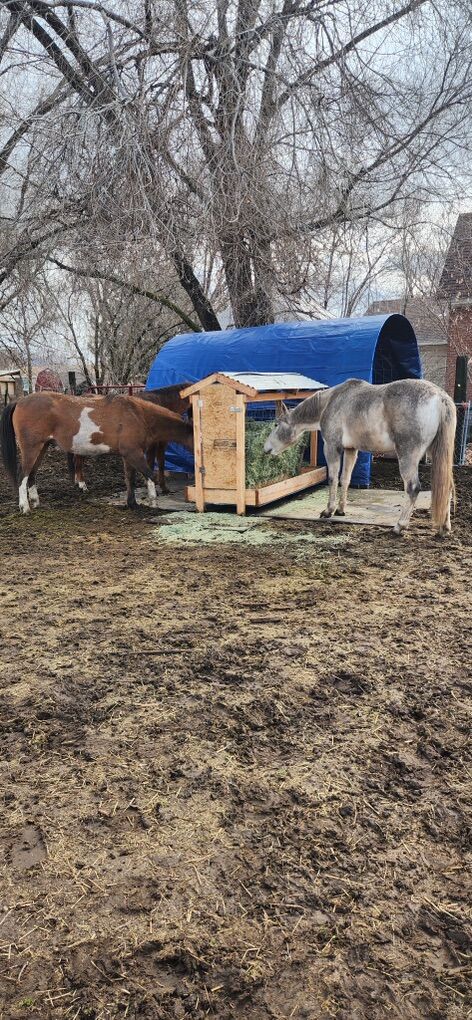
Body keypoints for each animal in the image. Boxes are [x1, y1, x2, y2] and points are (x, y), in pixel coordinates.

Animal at [0, 392, 193, 515]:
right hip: (31, 448)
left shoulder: (128, 456)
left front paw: (132, 503)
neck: (138, 414)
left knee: (31, 475)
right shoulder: (134, 454)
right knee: (22, 475)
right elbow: (149, 475)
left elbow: (129, 479)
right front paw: (153, 502)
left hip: (42, 447)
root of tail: (20, 400)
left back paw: (35, 502)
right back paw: (24, 507)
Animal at [263, 378, 456, 535]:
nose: (266, 449)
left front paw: (328, 511)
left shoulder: (332, 447)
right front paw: (341, 510)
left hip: (407, 455)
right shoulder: (351, 450)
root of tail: (440, 397)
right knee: (445, 487)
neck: (330, 402)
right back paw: (444, 528)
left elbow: (333, 478)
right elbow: (345, 479)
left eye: (276, 424)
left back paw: (399, 526)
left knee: (413, 488)